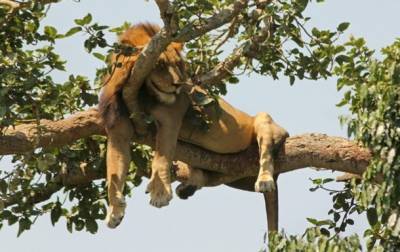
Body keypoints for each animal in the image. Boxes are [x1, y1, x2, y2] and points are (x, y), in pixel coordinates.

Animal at [98, 23, 290, 230]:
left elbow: (161, 157)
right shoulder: (118, 128)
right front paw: (114, 210)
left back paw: (264, 181)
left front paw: (159, 192)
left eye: (177, 64)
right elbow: (113, 172)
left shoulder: (171, 116)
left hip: (265, 121)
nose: (177, 84)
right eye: (160, 65)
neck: (140, 92)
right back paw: (186, 187)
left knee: (267, 152)